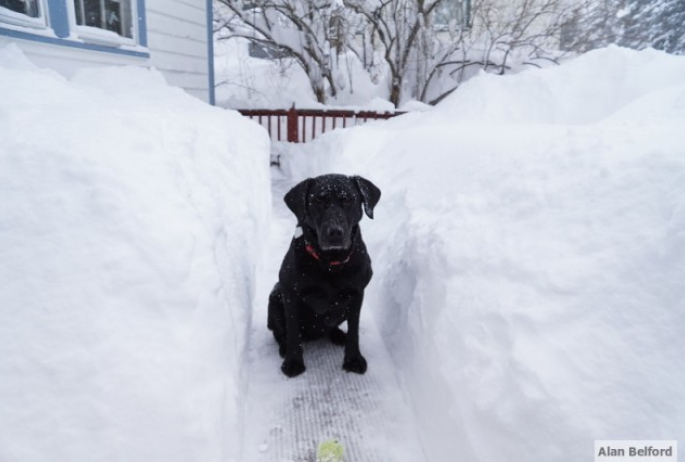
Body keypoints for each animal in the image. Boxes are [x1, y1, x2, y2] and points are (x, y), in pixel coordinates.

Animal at [268, 173, 380, 376]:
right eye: (318, 200)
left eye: (348, 200)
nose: (334, 232)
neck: (330, 263)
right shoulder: (290, 294)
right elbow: (293, 331)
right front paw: (293, 362)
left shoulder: (357, 294)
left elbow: (354, 331)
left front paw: (353, 359)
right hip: (275, 297)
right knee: (280, 332)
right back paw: (284, 348)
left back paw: (337, 335)